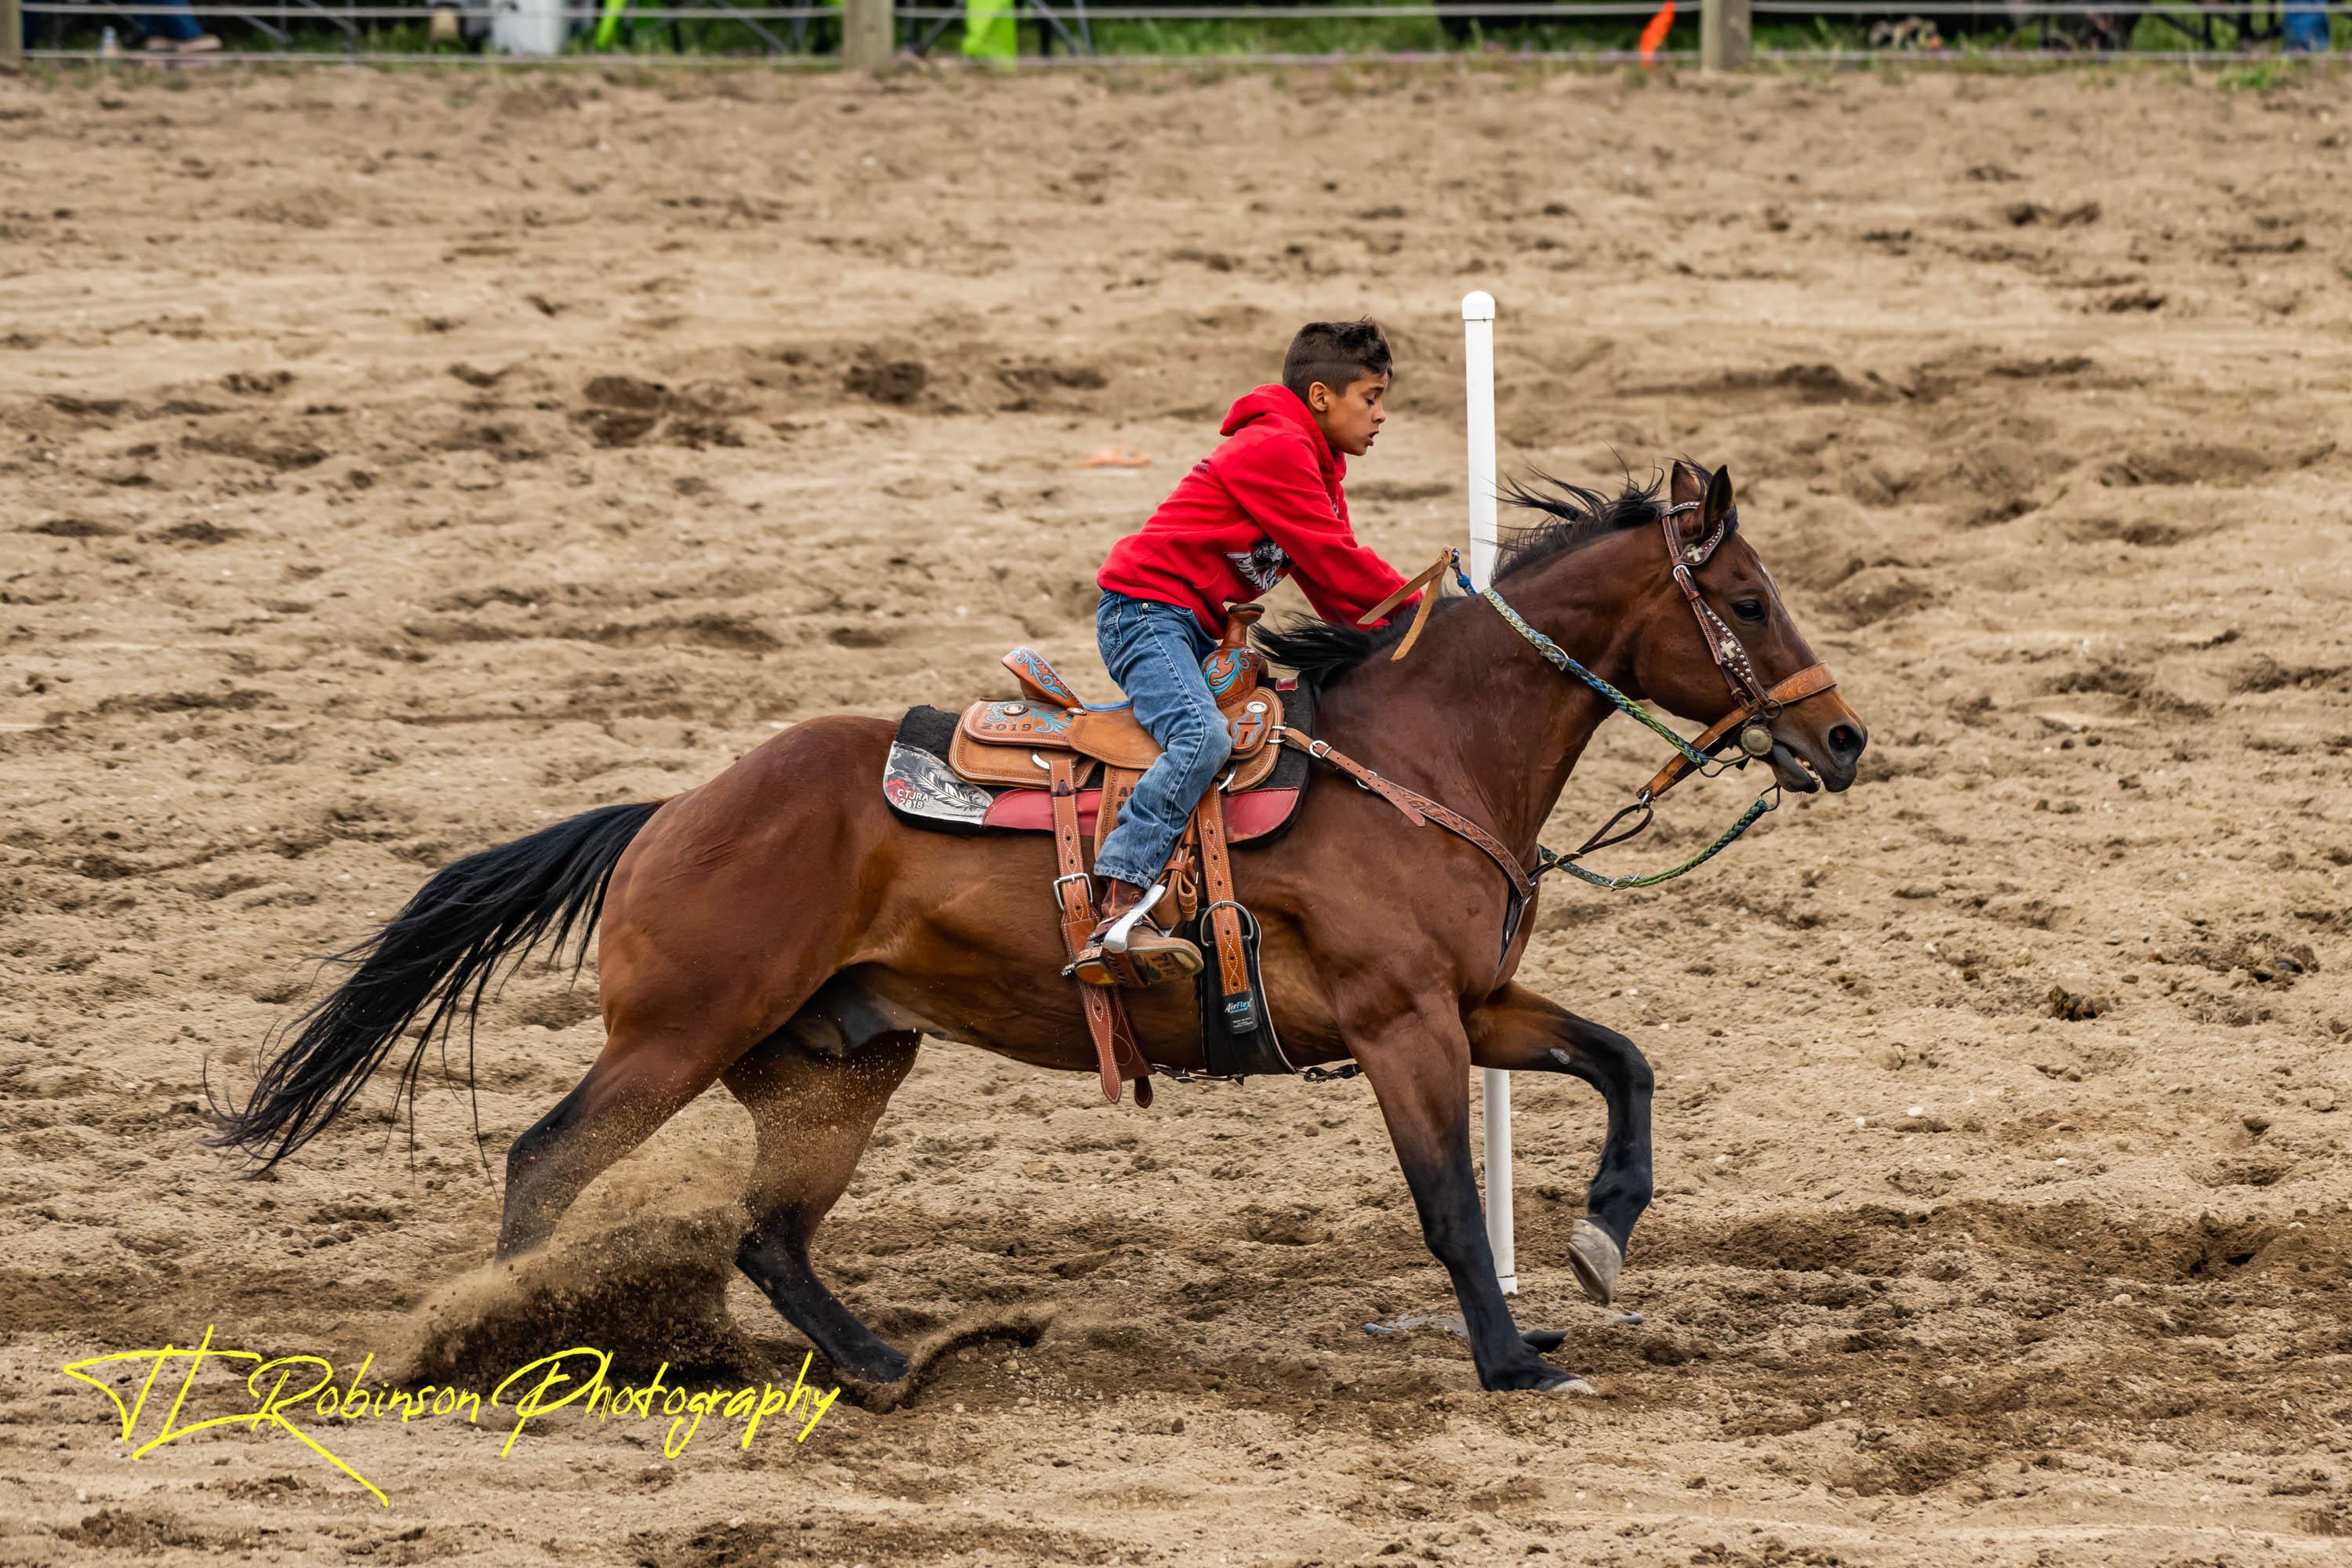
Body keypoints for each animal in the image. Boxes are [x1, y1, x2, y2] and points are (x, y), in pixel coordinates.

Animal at [221, 460, 1872, 1392]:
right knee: (550, 1161)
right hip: (680, 1032)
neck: (1419, 759)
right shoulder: (1403, 1025)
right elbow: (1452, 1206)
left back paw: (885, 1367)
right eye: (1743, 595)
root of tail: (673, 810)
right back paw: (517, 1343)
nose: (1843, 739)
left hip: (839, 1062)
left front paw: (1595, 1243)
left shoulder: (1473, 1008)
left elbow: (1625, 1062)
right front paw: (1513, 1359)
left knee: (769, 1233)